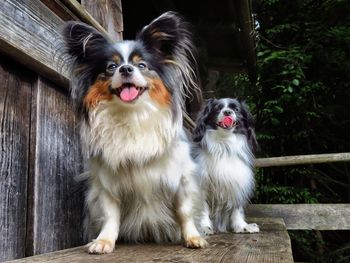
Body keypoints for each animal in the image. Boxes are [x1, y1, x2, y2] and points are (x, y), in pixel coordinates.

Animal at [61, 11, 206, 254]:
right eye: (111, 67)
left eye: (142, 65)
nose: (126, 69)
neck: (132, 114)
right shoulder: (107, 185)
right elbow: (110, 216)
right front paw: (104, 241)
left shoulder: (181, 179)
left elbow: (185, 211)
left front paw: (193, 237)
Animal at [191, 98, 260, 235]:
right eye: (218, 108)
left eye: (236, 109)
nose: (227, 112)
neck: (224, 144)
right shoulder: (202, 184)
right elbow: (203, 208)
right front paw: (205, 227)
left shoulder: (237, 182)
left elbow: (237, 208)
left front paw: (242, 226)